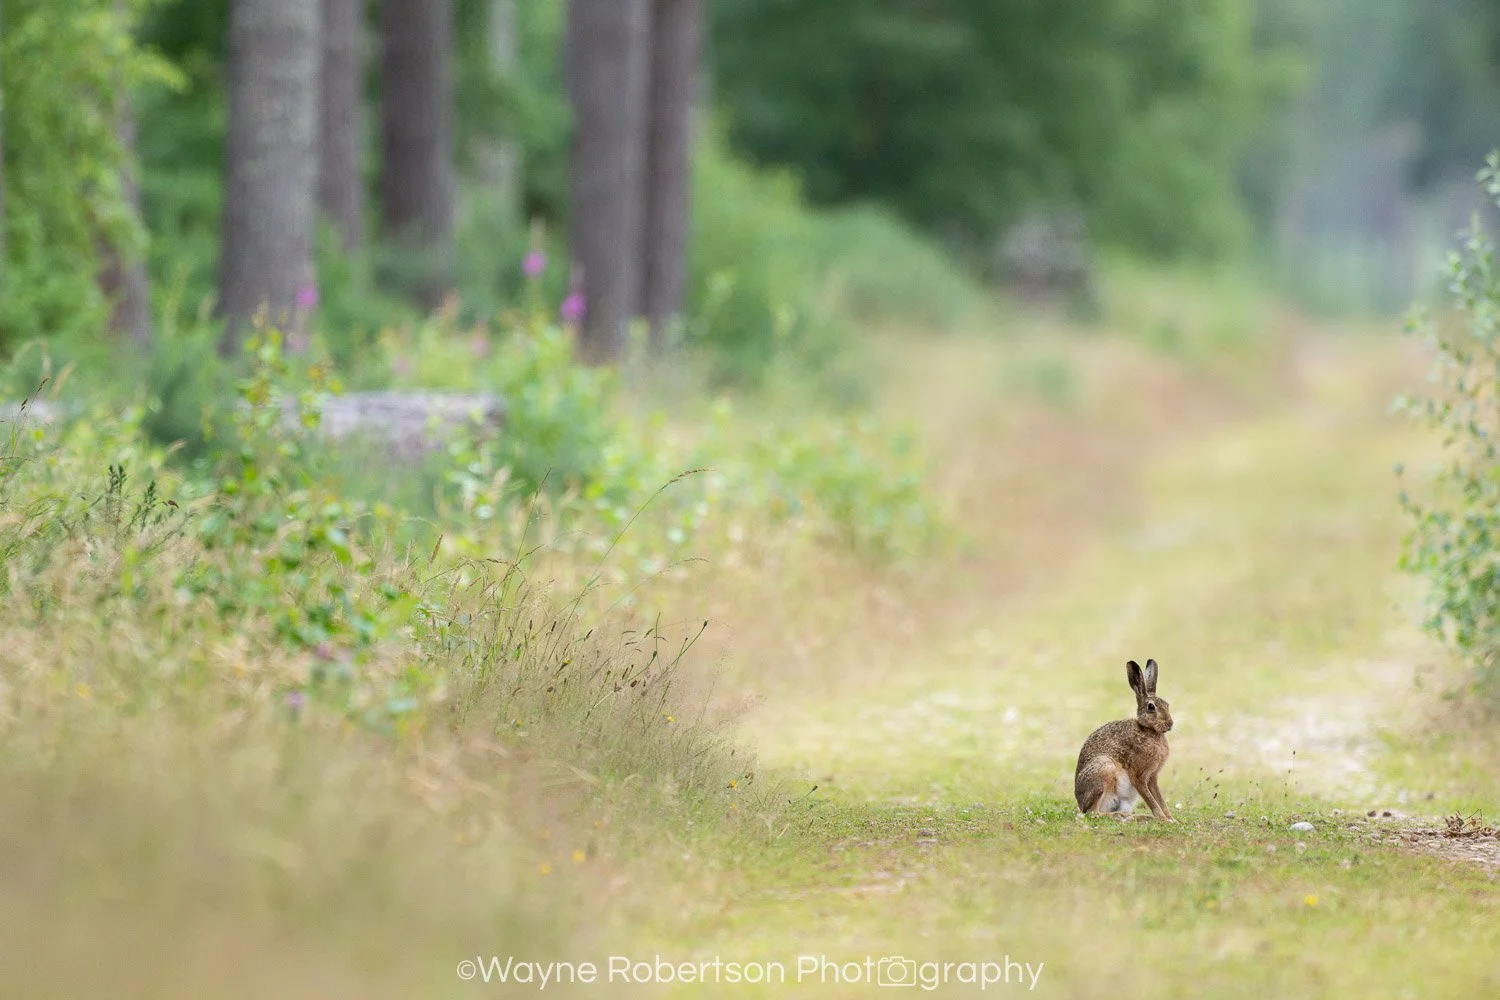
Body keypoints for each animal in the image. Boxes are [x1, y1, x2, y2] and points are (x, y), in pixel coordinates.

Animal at [1074, 658, 1175, 821]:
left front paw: (1171, 819)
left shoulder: (1152, 777)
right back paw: (1123, 816)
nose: (1170, 724)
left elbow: (1159, 799)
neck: (1149, 731)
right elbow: (1152, 801)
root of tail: (1080, 803)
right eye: (1151, 707)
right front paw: (1164, 820)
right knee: (1093, 813)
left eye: (1167, 704)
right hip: (1104, 770)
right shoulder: (1139, 776)